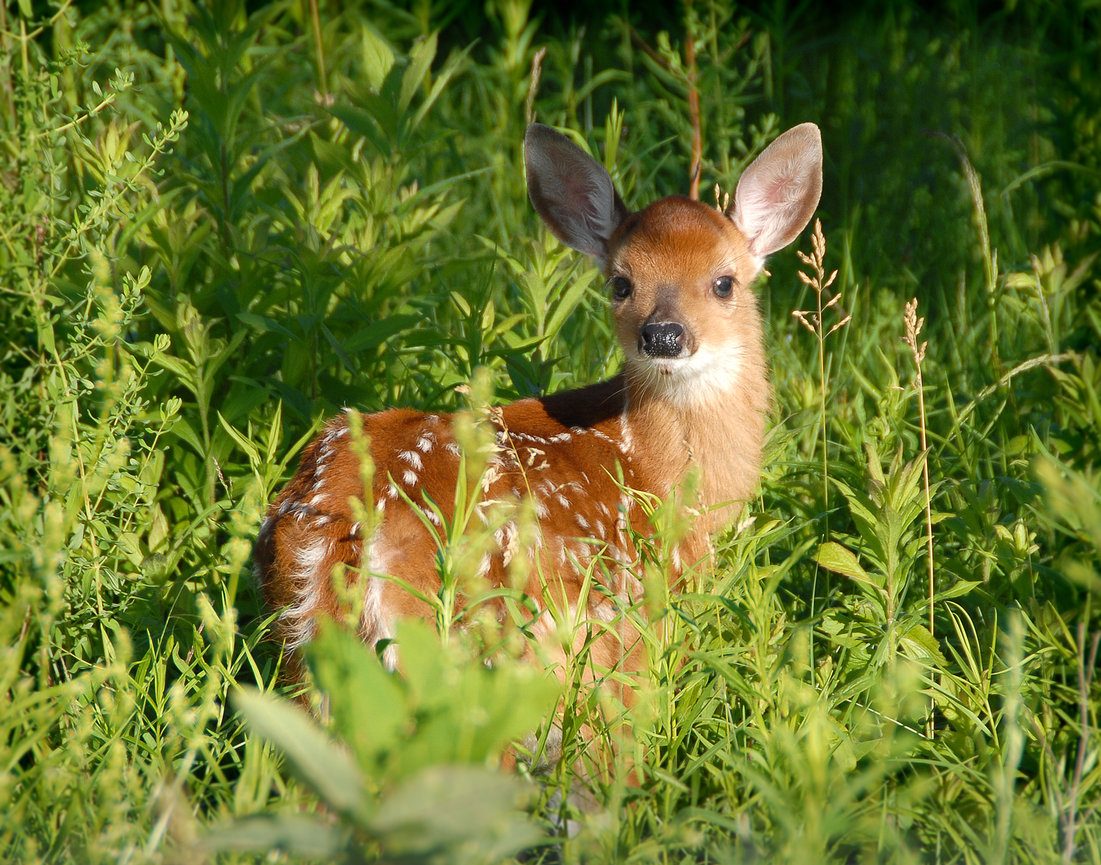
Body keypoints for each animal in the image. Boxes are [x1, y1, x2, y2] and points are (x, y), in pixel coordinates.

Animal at [254, 120, 822, 716]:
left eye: (724, 282)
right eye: (621, 283)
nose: (664, 335)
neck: (658, 472)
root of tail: (344, 522)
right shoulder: (636, 625)